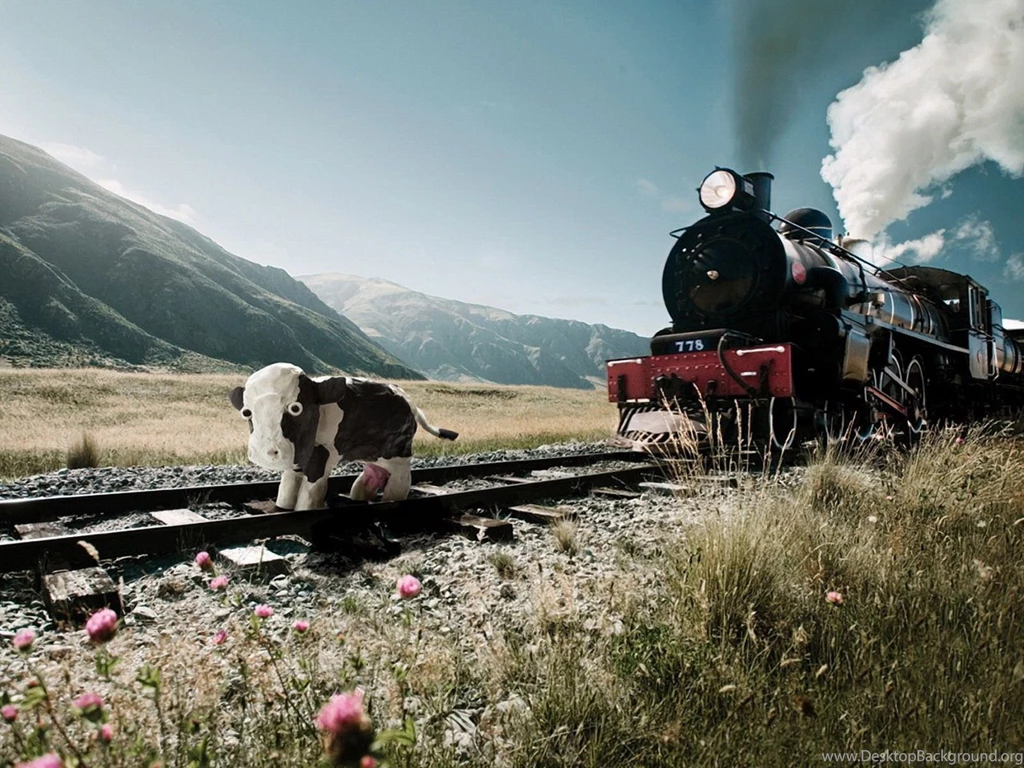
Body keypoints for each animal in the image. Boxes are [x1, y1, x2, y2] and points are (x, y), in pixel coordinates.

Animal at [229, 362, 458, 510]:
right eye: (246, 412)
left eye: (296, 408)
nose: (267, 452)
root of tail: (410, 401)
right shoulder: (300, 454)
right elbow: (288, 482)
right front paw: (282, 507)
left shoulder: (323, 453)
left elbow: (312, 488)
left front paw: (303, 510)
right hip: (373, 453)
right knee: (373, 472)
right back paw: (359, 497)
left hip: (399, 452)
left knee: (401, 479)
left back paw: (391, 500)